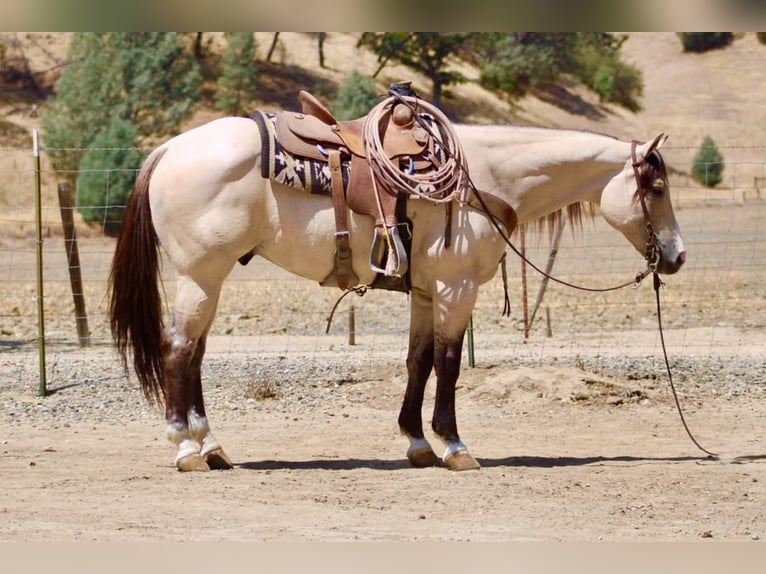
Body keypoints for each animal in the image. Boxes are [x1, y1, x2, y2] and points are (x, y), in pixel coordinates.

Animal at [108, 110, 685, 472]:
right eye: (655, 188)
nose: (677, 256)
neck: (485, 177)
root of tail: (169, 149)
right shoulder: (456, 288)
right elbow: (449, 365)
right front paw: (454, 444)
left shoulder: (427, 293)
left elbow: (419, 361)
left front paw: (416, 441)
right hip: (200, 276)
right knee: (178, 351)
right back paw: (185, 449)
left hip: (208, 279)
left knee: (194, 354)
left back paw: (212, 447)